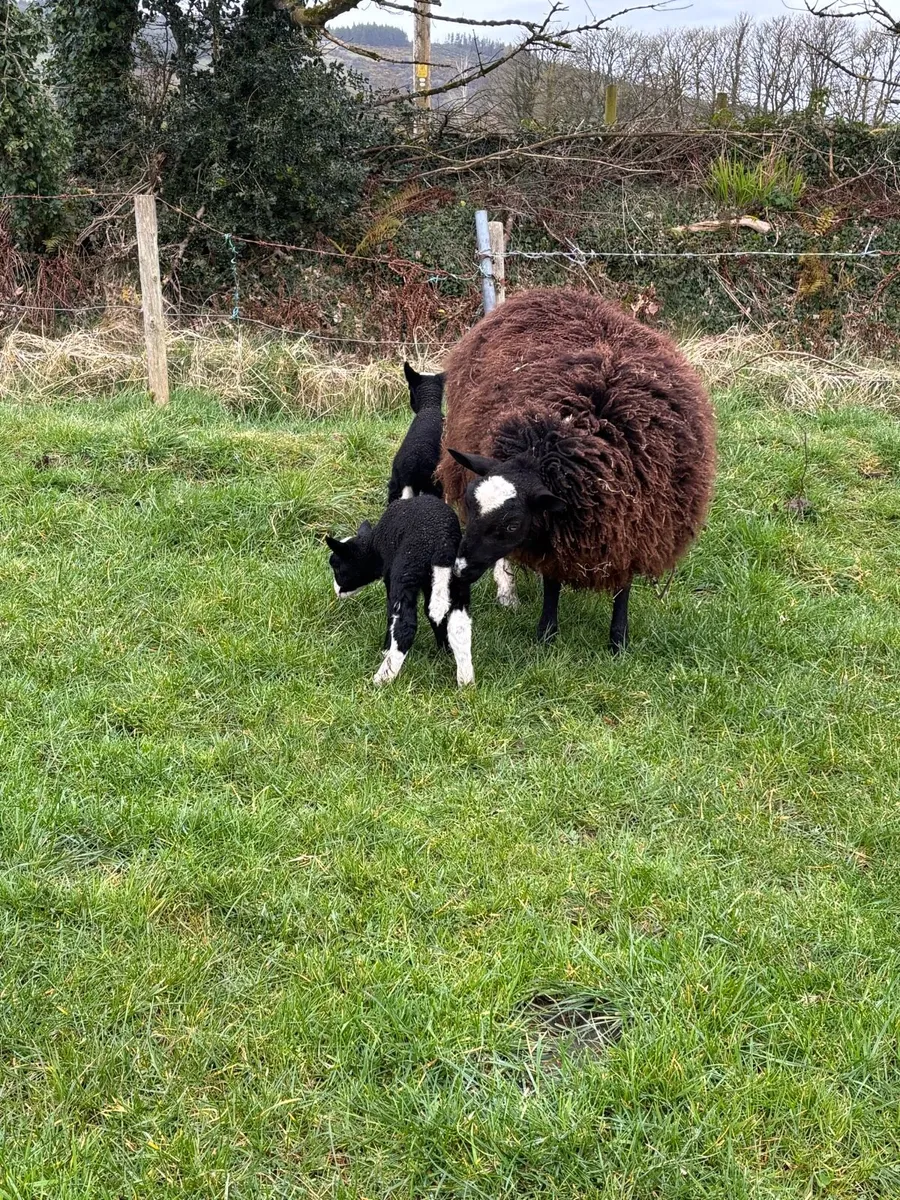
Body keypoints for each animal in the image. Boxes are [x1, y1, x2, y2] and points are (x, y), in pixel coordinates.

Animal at [326, 494, 474, 687]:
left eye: (336, 566)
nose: (336, 591)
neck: (374, 546)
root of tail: (443, 546)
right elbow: (433, 615)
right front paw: (444, 649)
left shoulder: (391, 577)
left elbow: (392, 616)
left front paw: (386, 649)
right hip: (457, 580)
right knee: (459, 626)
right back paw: (465, 681)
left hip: (406, 571)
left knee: (405, 626)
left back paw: (384, 677)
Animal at [436, 288, 716, 652]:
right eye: (470, 508)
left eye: (512, 525)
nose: (459, 570)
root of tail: (542, 291)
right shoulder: (555, 529)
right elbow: (552, 581)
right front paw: (546, 633)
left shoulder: (631, 527)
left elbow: (623, 587)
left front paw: (618, 642)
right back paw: (507, 593)